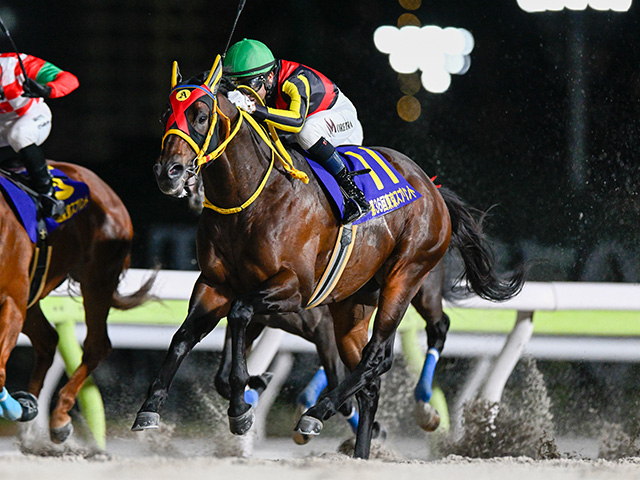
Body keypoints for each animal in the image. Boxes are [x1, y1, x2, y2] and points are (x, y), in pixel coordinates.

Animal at [0, 159, 154, 444]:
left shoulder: (12, 303)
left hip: (96, 280)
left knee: (96, 345)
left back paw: (56, 417)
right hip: (35, 295)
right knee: (48, 340)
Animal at [134, 56, 524, 459]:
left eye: (200, 115)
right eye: (166, 114)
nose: (168, 172)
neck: (248, 199)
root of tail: (432, 189)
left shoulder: (294, 288)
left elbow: (240, 315)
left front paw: (242, 407)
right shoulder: (215, 285)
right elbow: (184, 337)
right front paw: (151, 408)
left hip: (408, 276)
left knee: (387, 352)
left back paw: (325, 412)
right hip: (351, 307)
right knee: (370, 376)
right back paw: (360, 451)